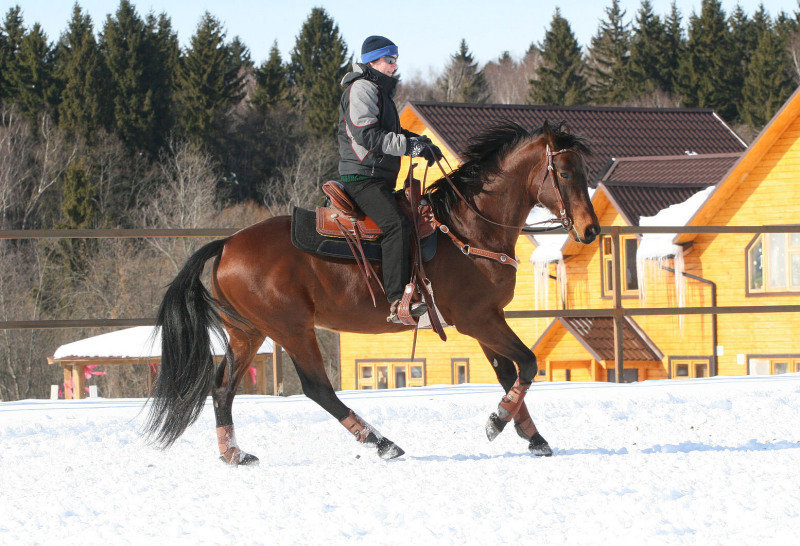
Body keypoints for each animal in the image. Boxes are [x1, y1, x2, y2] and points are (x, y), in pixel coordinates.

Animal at [144, 120, 596, 464]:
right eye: (566, 173)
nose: (591, 230)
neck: (468, 227)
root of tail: (227, 244)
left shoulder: (487, 320)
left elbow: (509, 372)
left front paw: (532, 436)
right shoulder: (478, 318)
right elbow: (528, 364)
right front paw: (498, 420)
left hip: (247, 333)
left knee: (222, 388)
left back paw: (234, 454)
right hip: (291, 328)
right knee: (318, 389)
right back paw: (381, 442)